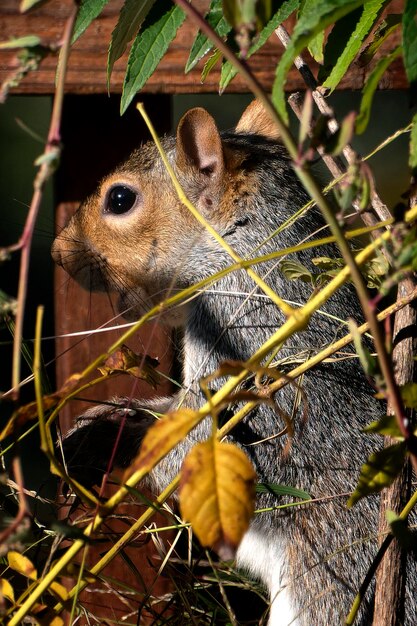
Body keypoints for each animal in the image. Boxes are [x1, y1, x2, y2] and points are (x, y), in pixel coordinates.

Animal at [51, 100, 412, 620]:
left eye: (119, 200)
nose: (58, 252)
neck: (243, 255)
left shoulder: (244, 356)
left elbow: (189, 447)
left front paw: (119, 439)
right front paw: (107, 420)